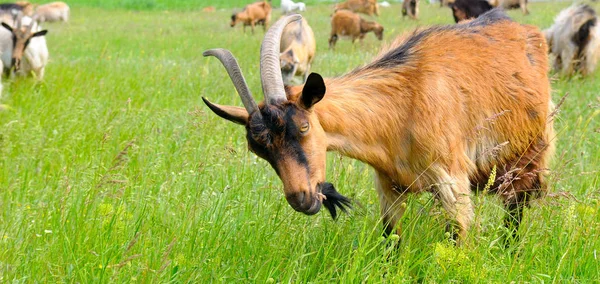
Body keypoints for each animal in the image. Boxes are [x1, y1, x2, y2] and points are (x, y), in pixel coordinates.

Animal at [204, 11, 556, 244]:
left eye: (303, 127)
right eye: (258, 150)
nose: (301, 199)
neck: (401, 106)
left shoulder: (452, 180)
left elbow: (457, 239)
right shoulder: (388, 186)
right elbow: (391, 242)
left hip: (529, 156)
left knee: (515, 211)